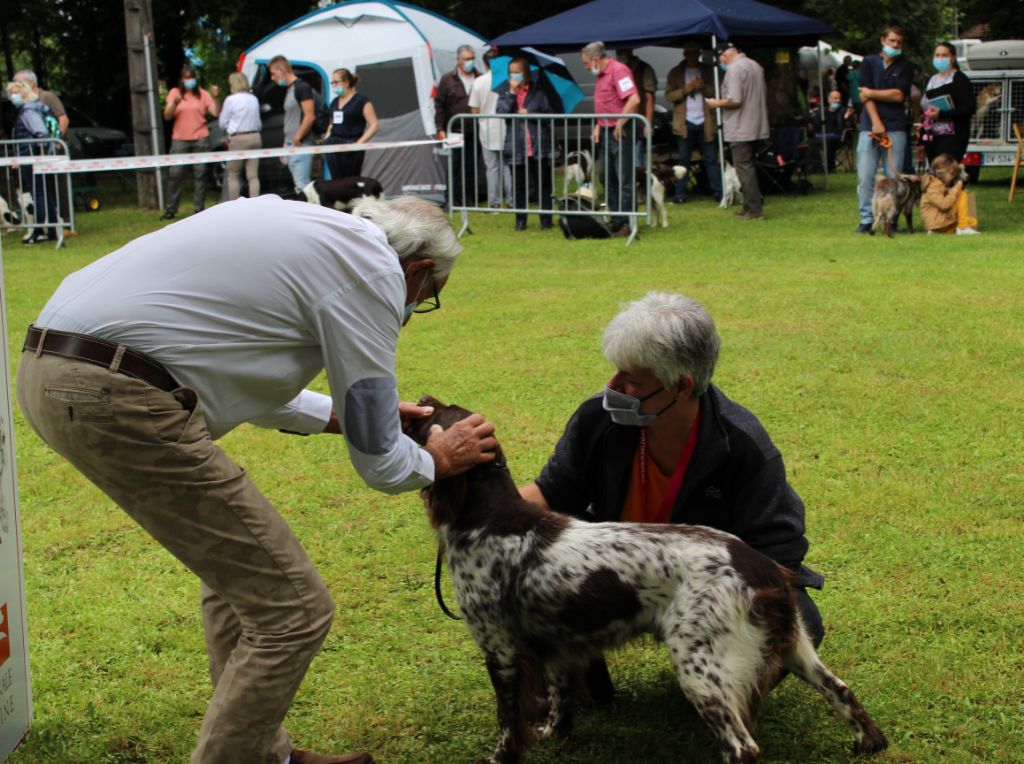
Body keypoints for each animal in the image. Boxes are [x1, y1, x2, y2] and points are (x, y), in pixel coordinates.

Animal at [407, 393, 888, 761]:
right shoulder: (559, 647)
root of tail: (764, 567)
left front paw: (501, 757)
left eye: (437, 411)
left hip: (699, 664)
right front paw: (554, 733)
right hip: (795, 647)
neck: (487, 515)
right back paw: (869, 743)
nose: (422, 397)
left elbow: (508, 722)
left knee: (743, 746)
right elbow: (559, 704)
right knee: (842, 690)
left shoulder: (501, 649)